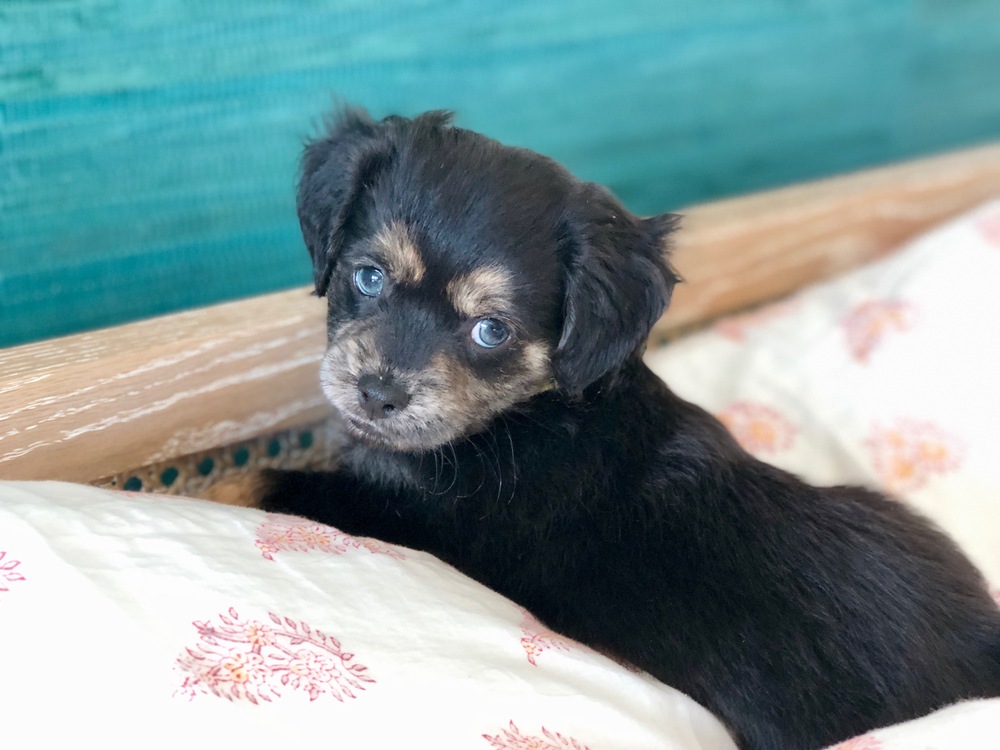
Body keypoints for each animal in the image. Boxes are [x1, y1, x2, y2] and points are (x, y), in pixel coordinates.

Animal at [211, 108, 1000, 749]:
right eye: (369, 277)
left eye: (492, 331)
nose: (377, 394)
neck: (531, 409)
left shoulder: (406, 518)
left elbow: (263, 478)